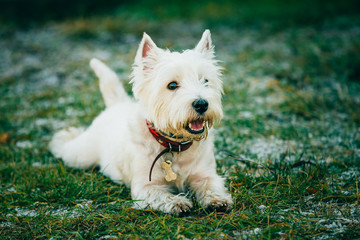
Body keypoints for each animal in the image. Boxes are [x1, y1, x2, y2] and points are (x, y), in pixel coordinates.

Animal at [48, 29, 233, 215]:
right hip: (81, 155)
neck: (174, 146)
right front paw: (178, 202)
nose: (202, 104)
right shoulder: (145, 186)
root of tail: (117, 104)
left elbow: (210, 185)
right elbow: (161, 195)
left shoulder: (206, 174)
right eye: (172, 85)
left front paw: (218, 200)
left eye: (205, 81)